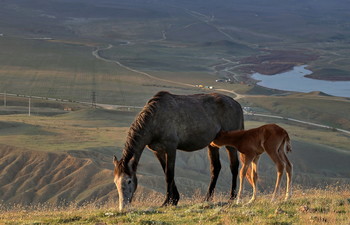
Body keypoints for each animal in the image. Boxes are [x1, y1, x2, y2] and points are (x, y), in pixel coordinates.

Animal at [113, 90, 243, 210]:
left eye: (129, 181)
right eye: (115, 182)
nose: (123, 206)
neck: (155, 118)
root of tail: (236, 104)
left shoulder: (171, 148)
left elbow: (169, 174)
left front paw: (167, 202)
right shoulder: (158, 151)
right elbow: (166, 172)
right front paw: (174, 200)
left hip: (230, 144)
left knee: (234, 166)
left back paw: (232, 197)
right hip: (212, 144)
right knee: (215, 168)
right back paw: (207, 198)